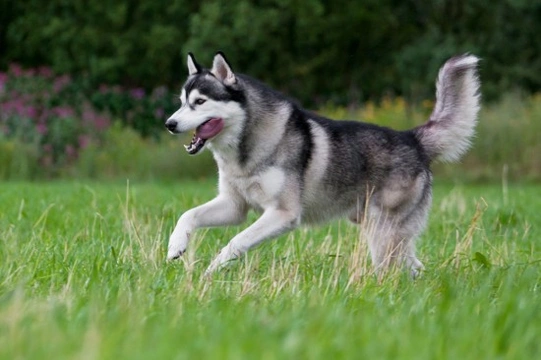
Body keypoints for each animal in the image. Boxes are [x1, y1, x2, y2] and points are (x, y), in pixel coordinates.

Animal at [162, 51, 478, 276]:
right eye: (181, 101)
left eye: (200, 102)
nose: (169, 124)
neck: (244, 151)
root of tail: (412, 138)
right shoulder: (234, 206)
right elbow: (187, 215)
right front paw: (176, 246)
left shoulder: (283, 214)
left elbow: (236, 242)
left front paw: (214, 269)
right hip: (386, 232)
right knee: (414, 267)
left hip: (382, 231)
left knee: (391, 269)